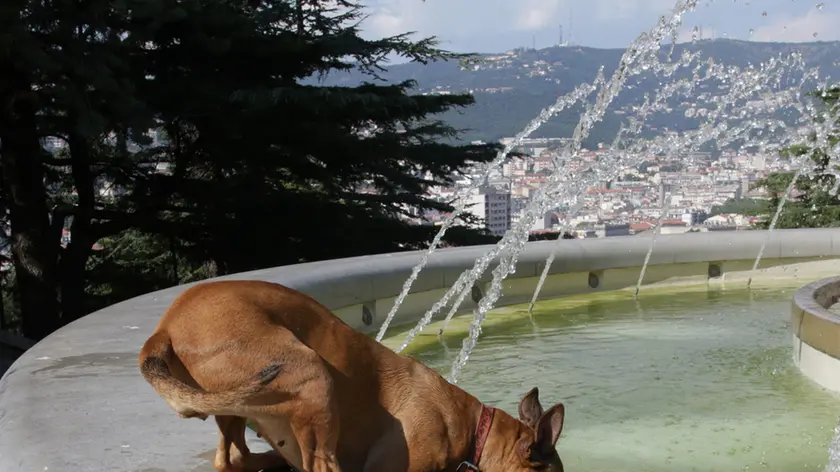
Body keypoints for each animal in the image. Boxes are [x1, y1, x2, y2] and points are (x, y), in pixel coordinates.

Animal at [138, 280, 564, 472]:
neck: (473, 429)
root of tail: (166, 327)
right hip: (310, 372)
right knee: (318, 464)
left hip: (235, 406)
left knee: (231, 457)